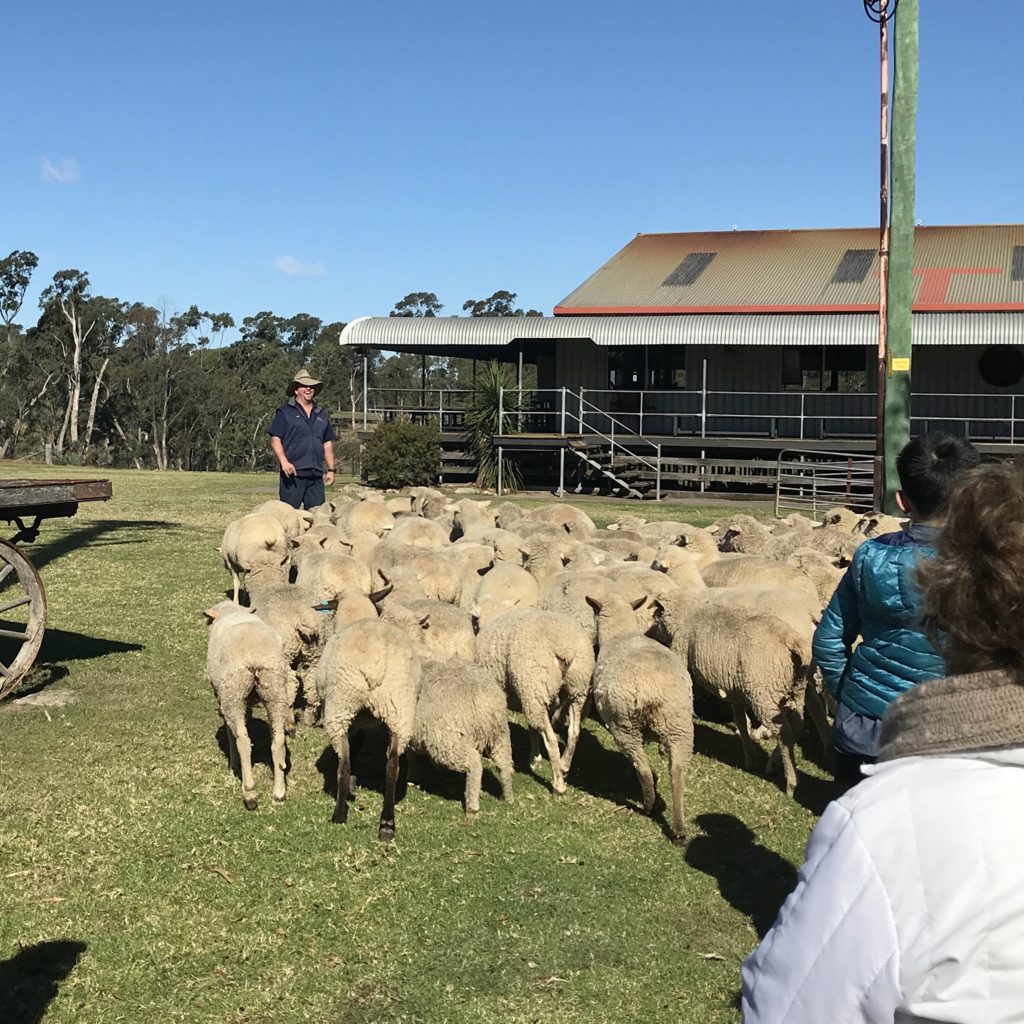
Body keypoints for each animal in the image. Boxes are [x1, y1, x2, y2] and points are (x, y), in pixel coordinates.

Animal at [203, 598, 290, 806]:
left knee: (242, 740)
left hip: (234, 693)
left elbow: (229, 731)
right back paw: (279, 793)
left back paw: (249, 792)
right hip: (275, 689)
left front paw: (233, 766)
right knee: (278, 740)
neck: (231, 611)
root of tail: (254, 658)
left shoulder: (222, 694)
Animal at [313, 614, 421, 839]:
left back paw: (340, 813)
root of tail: (374, 665)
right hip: (398, 709)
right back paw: (387, 823)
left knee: (344, 765)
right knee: (392, 766)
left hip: (342, 706)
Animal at [407, 659, 516, 819]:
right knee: (505, 764)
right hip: (500, 735)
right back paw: (507, 797)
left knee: (474, 765)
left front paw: (413, 776)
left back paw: (472, 808)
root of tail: (484, 702)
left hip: (449, 740)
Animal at [475, 610, 598, 794]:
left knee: (552, 739)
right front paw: (535, 758)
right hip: (576, 687)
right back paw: (564, 766)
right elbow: (532, 728)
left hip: (534, 685)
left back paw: (558, 785)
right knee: (573, 732)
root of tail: (565, 648)